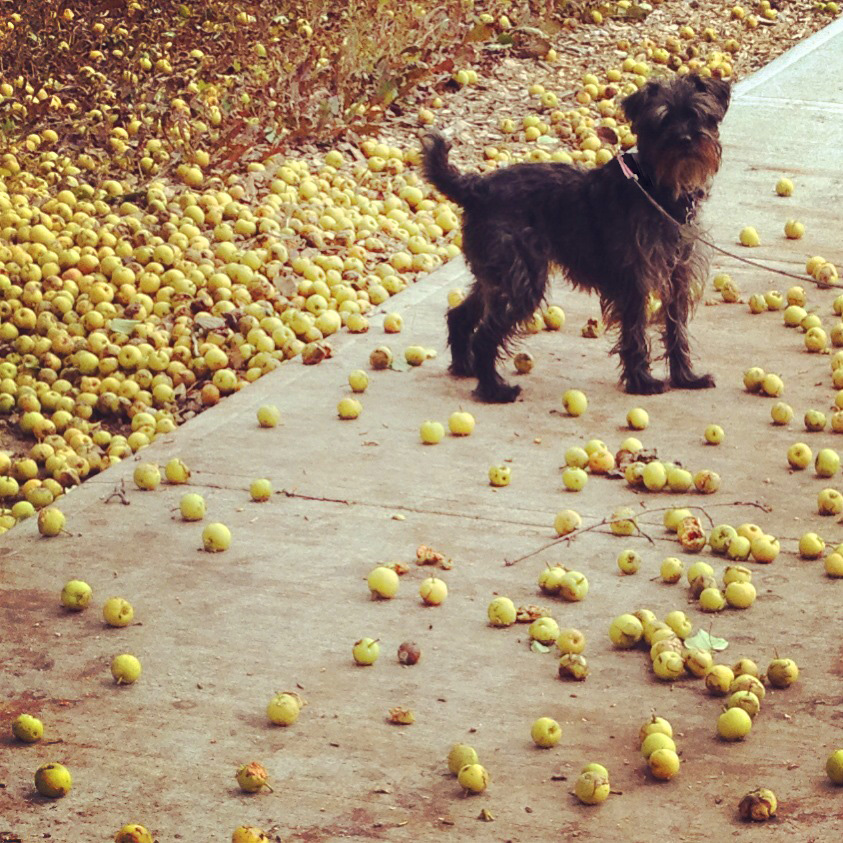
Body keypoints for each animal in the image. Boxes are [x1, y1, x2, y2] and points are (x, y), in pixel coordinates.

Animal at [422, 73, 732, 402]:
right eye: (662, 120)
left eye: (698, 114)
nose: (685, 139)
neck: (657, 187)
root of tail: (477, 188)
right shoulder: (634, 278)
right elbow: (635, 330)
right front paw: (642, 382)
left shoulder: (677, 276)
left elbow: (676, 329)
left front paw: (686, 377)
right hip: (522, 281)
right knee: (484, 335)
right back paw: (494, 390)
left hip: (496, 277)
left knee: (460, 315)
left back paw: (464, 367)